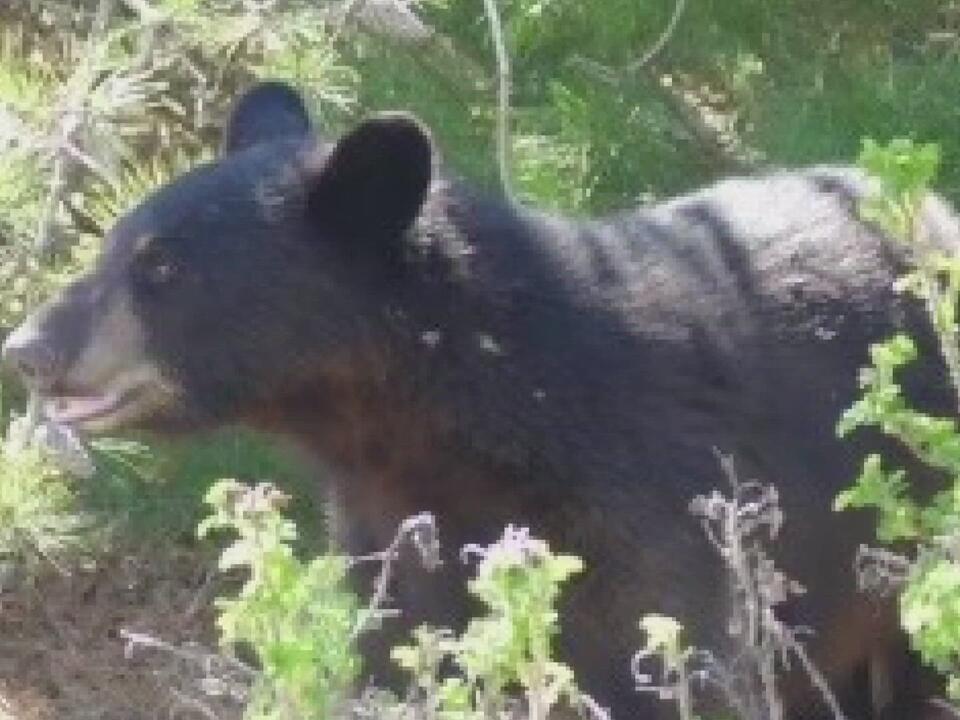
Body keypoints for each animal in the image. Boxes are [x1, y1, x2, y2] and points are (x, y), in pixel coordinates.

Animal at [3, 81, 958, 719]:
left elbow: (664, 654)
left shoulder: (651, 502)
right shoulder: (390, 530)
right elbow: (400, 654)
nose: (29, 349)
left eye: (161, 269)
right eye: (116, 245)